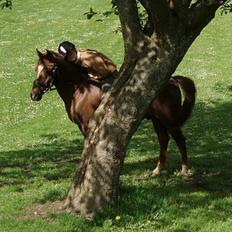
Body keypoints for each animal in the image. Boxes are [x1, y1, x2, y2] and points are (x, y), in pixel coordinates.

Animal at [30, 49, 196, 176]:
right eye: (36, 69)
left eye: (47, 69)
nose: (33, 94)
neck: (79, 89)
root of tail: (172, 80)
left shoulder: (87, 124)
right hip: (157, 119)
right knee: (163, 139)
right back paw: (157, 170)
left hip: (169, 119)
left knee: (180, 140)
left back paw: (184, 170)